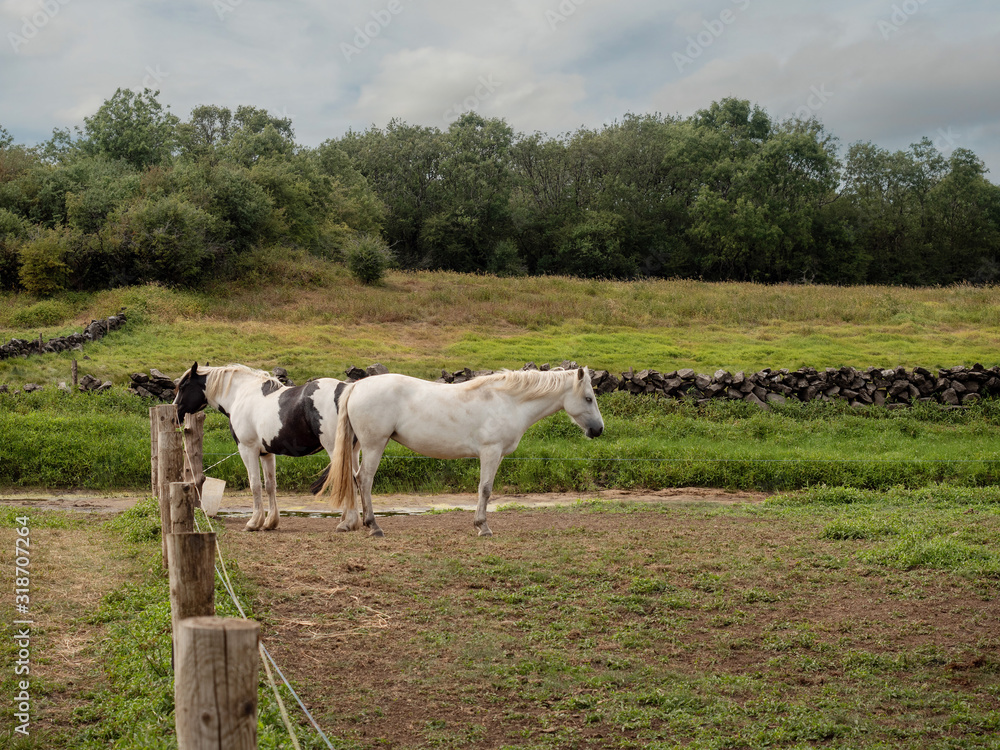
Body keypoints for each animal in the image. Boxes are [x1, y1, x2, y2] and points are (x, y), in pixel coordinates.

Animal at [173, 363, 360, 531]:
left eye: (183, 386)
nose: (175, 414)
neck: (240, 395)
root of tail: (346, 390)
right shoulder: (266, 453)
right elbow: (270, 485)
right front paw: (270, 522)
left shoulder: (247, 450)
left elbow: (255, 484)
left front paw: (254, 522)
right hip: (352, 451)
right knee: (357, 478)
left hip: (335, 449)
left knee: (348, 478)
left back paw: (347, 523)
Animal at [317, 367, 605, 537]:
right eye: (589, 398)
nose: (599, 429)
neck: (507, 402)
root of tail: (357, 386)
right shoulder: (490, 452)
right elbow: (485, 489)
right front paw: (483, 527)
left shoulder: (497, 455)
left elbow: (485, 489)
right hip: (374, 445)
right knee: (364, 480)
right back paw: (373, 526)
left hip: (358, 446)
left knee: (354, 479)